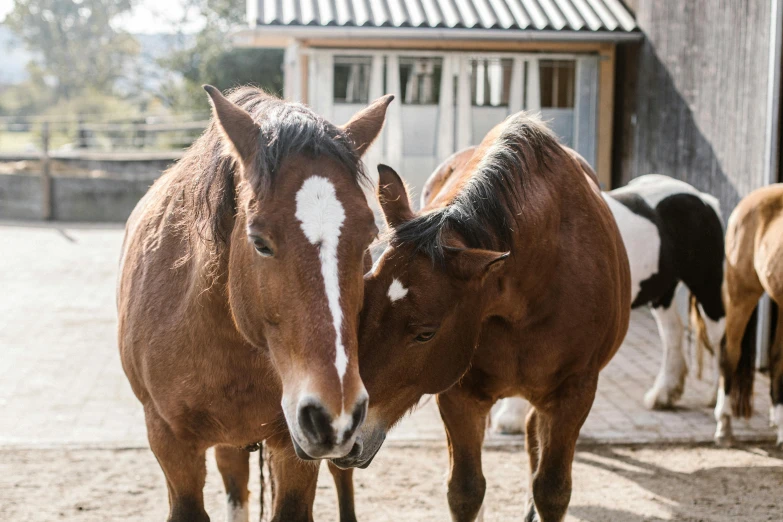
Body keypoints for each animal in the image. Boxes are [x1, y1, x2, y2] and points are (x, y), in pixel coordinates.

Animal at [330, 111, 632, 516]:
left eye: (425, 333)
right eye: (363, 304)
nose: (342, 433)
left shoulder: (574, 393)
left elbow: (552, 491)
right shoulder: (459, 395)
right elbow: (466, 490)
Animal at [496, 174, 728, 430]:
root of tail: (702, 199)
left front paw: (510, 419)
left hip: (707, 286)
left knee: (719, 337)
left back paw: (716, 401)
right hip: (663, 292)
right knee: (672, 332)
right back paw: (663, 395)